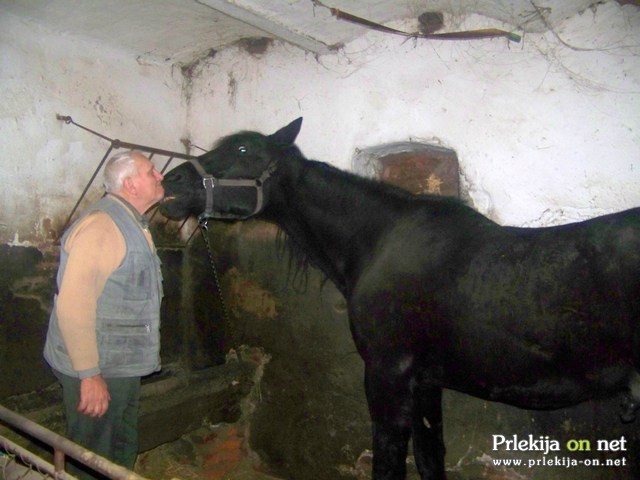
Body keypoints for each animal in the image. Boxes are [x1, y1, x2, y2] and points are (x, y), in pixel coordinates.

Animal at [160, 117, 640, 480]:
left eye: (243, 150)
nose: (171, 182)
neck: (379, 241)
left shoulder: (387, 375)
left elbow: (390, 462)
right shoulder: (426, 382)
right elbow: (430, 458)